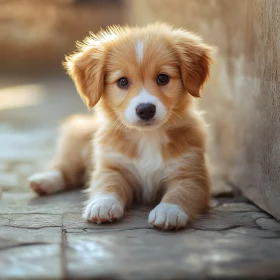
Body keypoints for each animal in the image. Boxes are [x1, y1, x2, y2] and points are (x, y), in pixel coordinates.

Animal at [29, 23, 214, 230]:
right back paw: (44, 180)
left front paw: (169, 210)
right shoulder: (110, 166)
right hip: (77, 139)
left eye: (163, 78)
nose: (145, 110)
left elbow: (182, 192)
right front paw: (103, 204)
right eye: (122, 81)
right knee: (65, 168)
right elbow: (107, 183)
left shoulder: (192, 174)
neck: (147, 136)